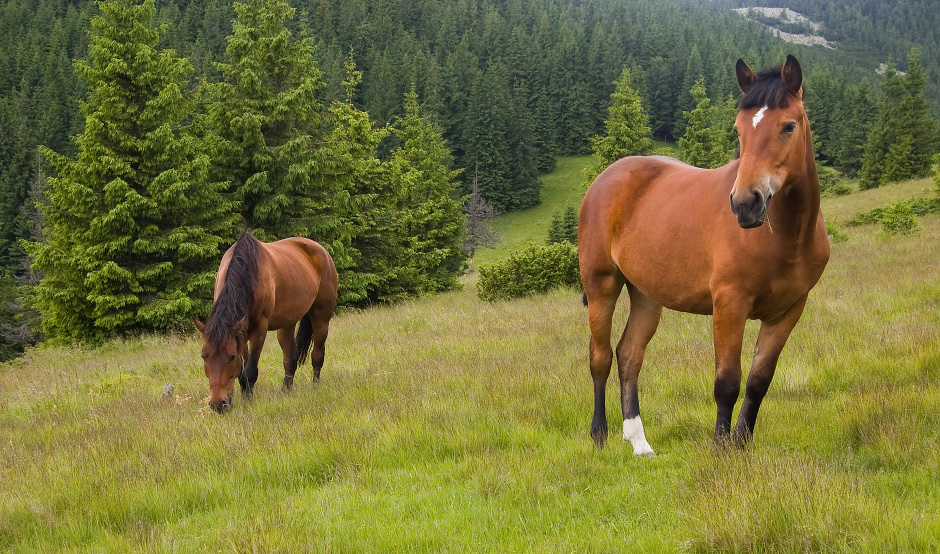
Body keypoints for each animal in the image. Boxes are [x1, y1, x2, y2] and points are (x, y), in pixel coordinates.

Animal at [195, 227, 338, 410]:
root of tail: (321, 250)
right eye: (204, 356)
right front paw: (245, 395)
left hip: (321, 318)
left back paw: (315, 386)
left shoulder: (259, 329)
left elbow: (250, 370)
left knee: (317, 355)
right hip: (287, 324)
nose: (218, 404)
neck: (248, 273)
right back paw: (286, 391)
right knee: (290, 359)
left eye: (231, 356)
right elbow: (243, 369)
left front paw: (248, 401)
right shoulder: (242, 332)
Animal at [580, 55, 828, 452]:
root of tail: (606, 178)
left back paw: (639, 443)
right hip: (602, 285)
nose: (745, 204)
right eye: (738, 129)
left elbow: (758, 381)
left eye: (788, 126)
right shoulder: (729, 305)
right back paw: (599, 434)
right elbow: (727, 382)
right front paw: (720, 448)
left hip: (646, 294)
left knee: (629, 356)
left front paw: (741, 444)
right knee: (600, 357)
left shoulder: (789, 311)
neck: (785, 239)